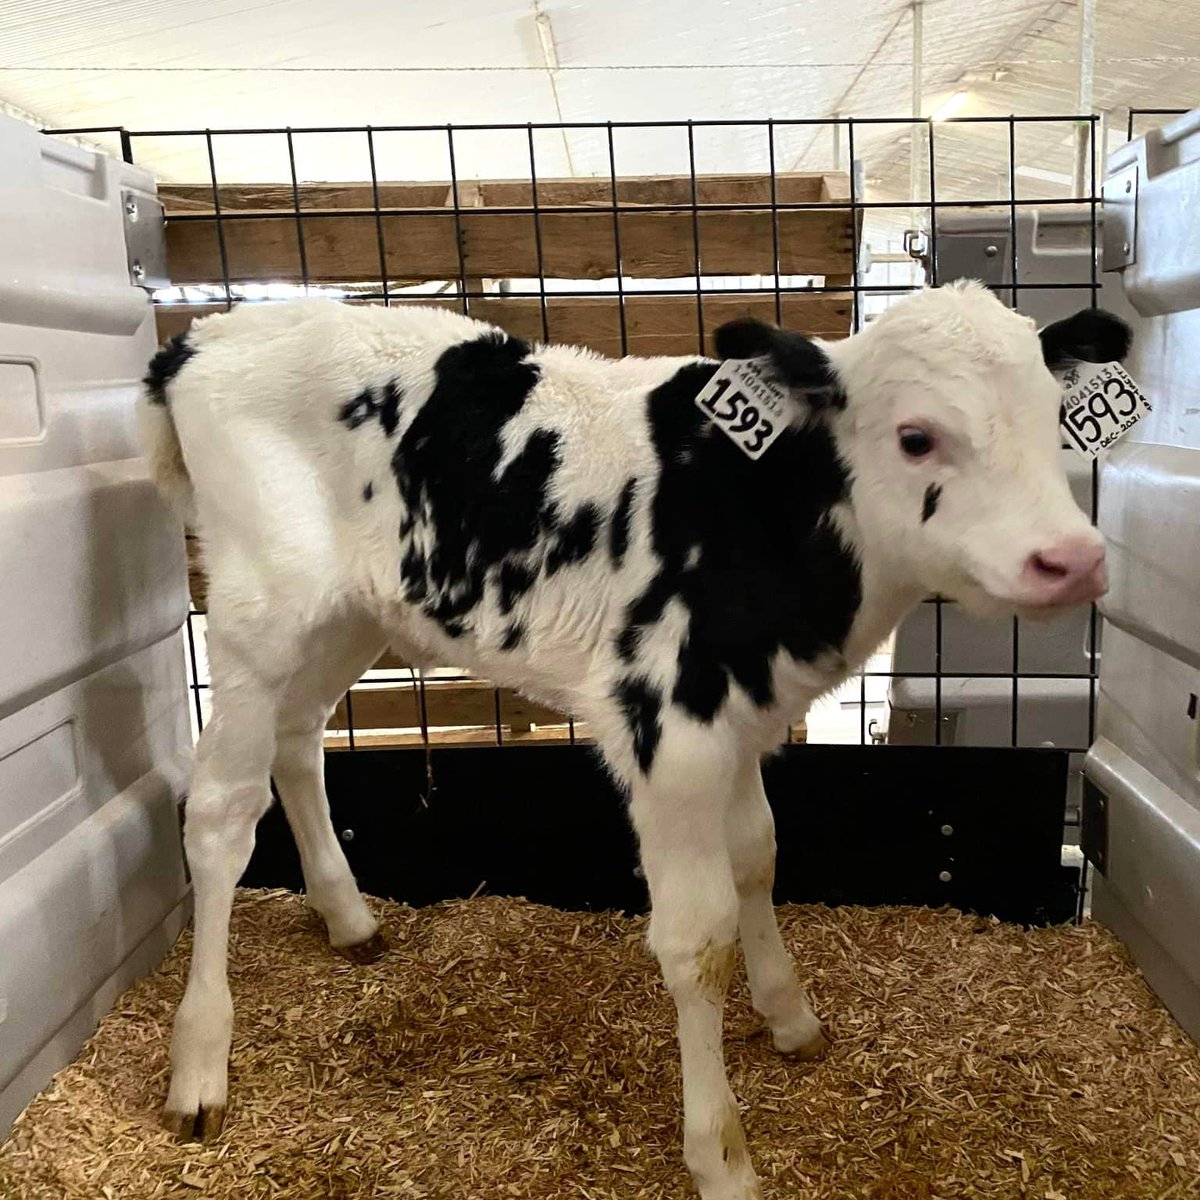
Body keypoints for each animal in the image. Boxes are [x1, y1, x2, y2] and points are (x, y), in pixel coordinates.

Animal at [140, 282, 1129, 1200]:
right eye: (917, 437)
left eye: (1053, 416)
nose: (1071, 559)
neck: (759, 510)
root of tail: (210, 334)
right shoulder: (666, 723)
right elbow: (697, 940)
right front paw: (720, 1156)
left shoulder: (741, 712)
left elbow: (759, 856)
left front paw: (789, 1016)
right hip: (255, 614)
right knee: (221, 814)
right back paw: (199, 1068)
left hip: (347, 614)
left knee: (298, 741)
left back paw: (348, 918)